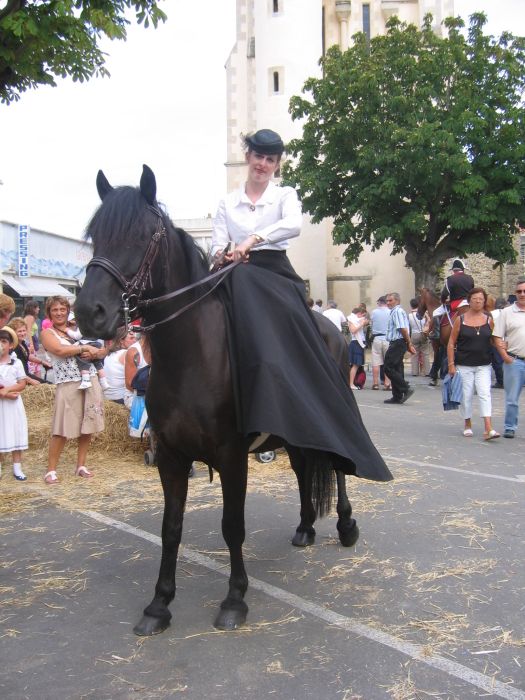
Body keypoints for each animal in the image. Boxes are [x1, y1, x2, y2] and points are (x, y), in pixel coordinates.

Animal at [73, 167, 360, 636]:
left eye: (140, 235)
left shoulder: (231, 456)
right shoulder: (171, 457)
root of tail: (333, 328)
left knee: (336, 466)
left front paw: (234, 599)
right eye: (96, 235)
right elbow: (171, 528)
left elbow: (232, 526)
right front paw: (159, 605)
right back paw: (304, 527)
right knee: (303, 468)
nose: (88, 313)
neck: (193, 357)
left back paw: (347, 524)